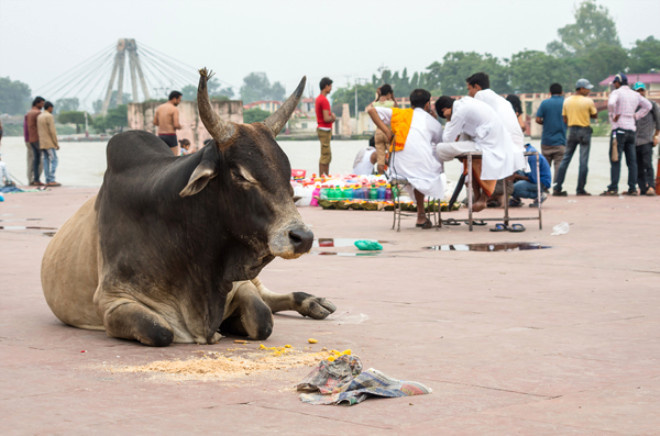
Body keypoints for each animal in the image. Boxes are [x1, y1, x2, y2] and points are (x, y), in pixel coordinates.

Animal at [41, 69, 336, 348]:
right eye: (240, 175)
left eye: (287, 172)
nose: (302, 237)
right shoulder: (112, 301)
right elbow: (159, 331)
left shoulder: (239, 285)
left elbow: (262, 318)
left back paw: (313, 301)